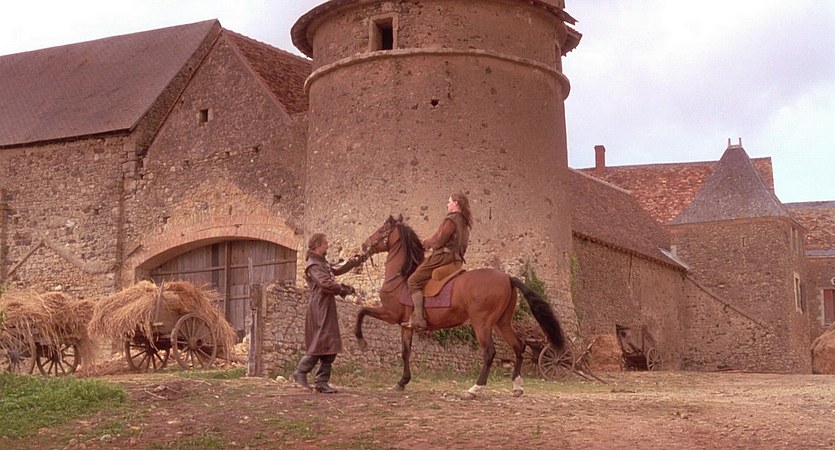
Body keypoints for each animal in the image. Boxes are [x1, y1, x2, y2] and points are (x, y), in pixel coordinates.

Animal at [356, 214, 565, 398]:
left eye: (381, 230)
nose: (364, 245)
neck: (401, 278)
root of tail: (507, 277)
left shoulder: (390, 314)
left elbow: (362, 311)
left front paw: (361, 341)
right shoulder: (406, 326)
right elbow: (405, 352)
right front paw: (402, 382)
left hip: (482, 324)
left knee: (489, 353)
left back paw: (474, 389)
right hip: (501, 323)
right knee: (519, 346)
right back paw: (516, 387)